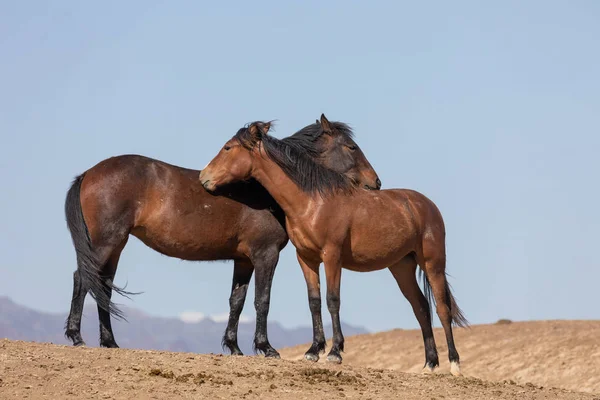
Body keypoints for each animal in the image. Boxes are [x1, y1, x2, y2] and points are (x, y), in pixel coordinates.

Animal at [62, 113, 380, 356]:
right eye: (352, 147)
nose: (376, 182)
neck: (267, 191)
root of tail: (89, 173)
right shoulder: (266, 255)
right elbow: (262, 300)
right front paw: (266, 348)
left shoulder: (244, 260)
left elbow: (237, 301)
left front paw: (234, 347)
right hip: (105, 243)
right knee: (82, 278)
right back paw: (77, 337)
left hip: (115, 246)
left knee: (102, 285)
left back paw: (110, 342)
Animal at [199, 121, 472, 376]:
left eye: (228, 147)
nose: (204, 178)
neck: (313, 202)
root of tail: (425, 205)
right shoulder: (306, 259)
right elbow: (314, 301)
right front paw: (313, 351)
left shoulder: (332, 256)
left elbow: (332, 300)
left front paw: (334, 352)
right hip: (401, 267)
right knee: (421, 308)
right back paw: (430, 364)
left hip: (433, 264)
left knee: (442, 309)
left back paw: (454, 364)